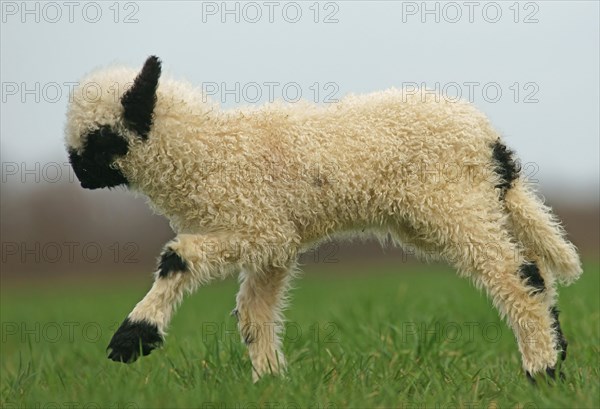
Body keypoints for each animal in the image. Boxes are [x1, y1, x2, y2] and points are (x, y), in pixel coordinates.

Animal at [64, 55, 580, 380]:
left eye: (100, 138)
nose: (79, 176)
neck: (210, 150)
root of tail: (491, 142)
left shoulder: (257, 226)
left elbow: (178, 258)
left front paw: (132, 338)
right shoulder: (275, 244)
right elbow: (254, 311)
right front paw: (271, 382)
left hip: (453, 203)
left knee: (517, 274)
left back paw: (541, 370)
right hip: (465, 205)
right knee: (536, 265)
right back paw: (556, 355)